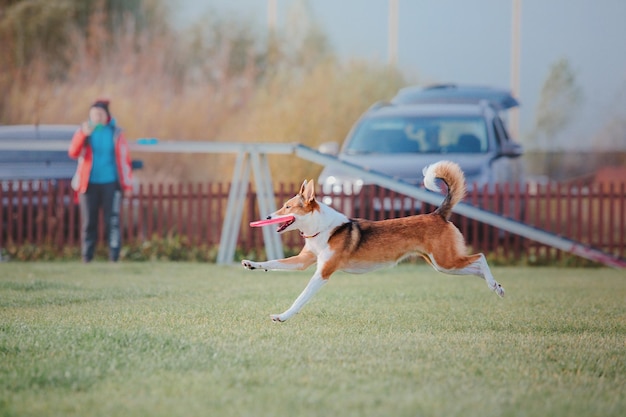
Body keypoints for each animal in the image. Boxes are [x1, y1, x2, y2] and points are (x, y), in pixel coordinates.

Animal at [239, 160, 502, 322]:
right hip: (442, 264)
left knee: (480, 257)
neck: (321, 229)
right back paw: (495, 286)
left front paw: (282, 316)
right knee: (475, 267)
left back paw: (494, 285)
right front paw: (251, 264)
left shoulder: (322, 272)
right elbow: (274, 262)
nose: (267, 218)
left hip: (445, 261)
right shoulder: (303, 261)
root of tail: (438, 214)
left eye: (288, 207)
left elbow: (301, 298)